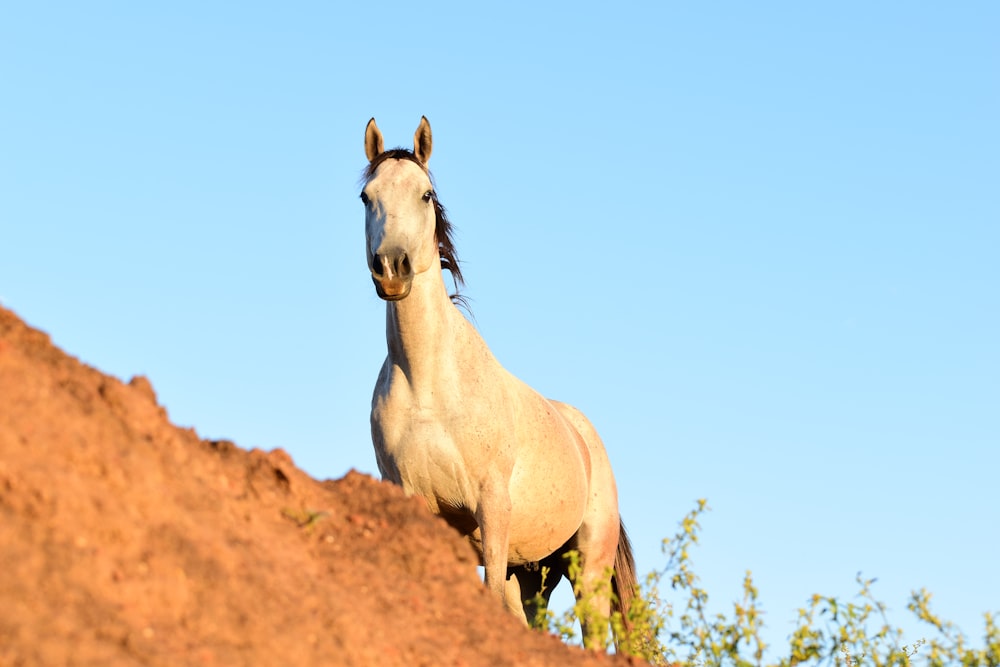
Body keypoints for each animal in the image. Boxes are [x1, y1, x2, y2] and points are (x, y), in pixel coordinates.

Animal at [364, 117, 636, 648]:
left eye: (426, 194)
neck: (429, 386)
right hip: (531, 573)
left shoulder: (490, 507)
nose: (392, 267)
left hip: (586, 566)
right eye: (366, 196)